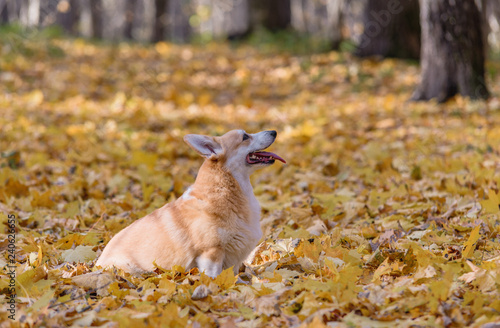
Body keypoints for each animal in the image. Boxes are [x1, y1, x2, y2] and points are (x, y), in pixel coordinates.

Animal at [95, 129, 286, 278]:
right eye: (245, 136)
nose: (274, 132)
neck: (226, 190)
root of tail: (97, 263)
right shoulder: (211, 253)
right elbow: (213, 277)